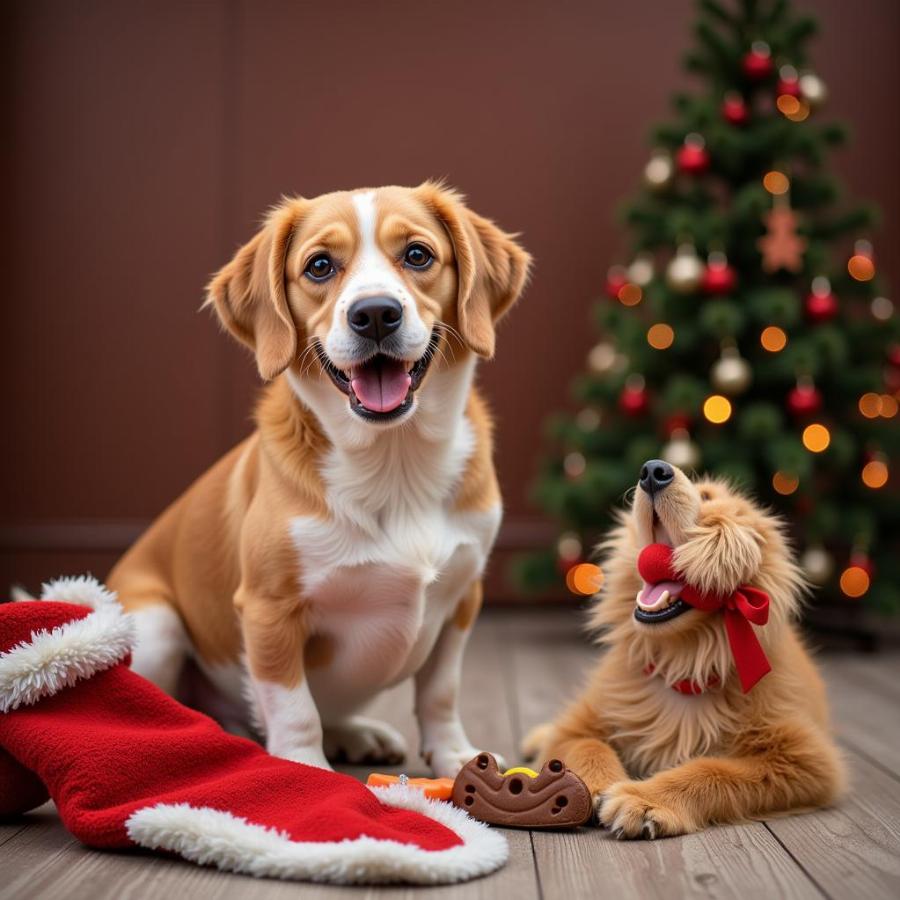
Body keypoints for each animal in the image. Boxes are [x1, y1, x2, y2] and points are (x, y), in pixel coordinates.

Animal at [108, 181, 532, 772]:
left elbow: (440, 692)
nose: (375, 314)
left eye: (418, 255)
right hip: (156, 629)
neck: (394, 464)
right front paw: (304, 771)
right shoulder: (268, 611)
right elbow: (294, 708)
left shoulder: (462, 598)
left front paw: (455, 758)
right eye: (320, 266)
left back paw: (356, 733)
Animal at [524, 460, 848, 840]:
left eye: (706, 496)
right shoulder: (578, 725)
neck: (684, 662)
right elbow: (587, 745)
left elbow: (713, 771)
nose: (652, 470)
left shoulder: (807, 759)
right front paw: (592, 785)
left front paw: (644, 800)